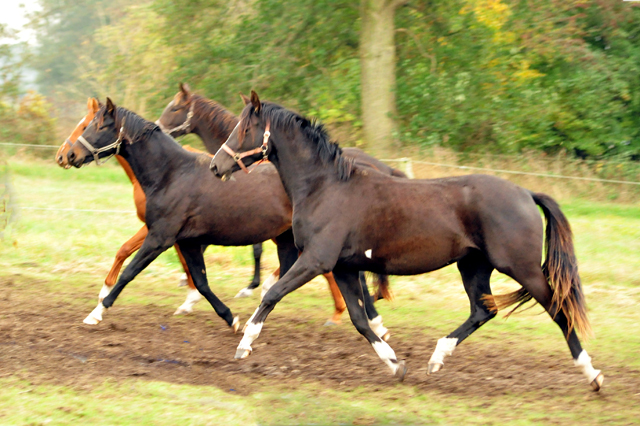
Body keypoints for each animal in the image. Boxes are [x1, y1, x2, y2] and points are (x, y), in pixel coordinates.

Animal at [210, 91, 604, 392]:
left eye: (246, 127)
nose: (216, 166)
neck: (326, 187)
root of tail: (525, 192)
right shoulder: (344, 267)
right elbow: (360, 319)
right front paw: (395, 365)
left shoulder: (316, 260)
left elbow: (272, 294)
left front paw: (244, 345)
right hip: (473, 265)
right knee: (483, 310)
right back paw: (437, 358)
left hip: (521, 267)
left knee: (558, 309)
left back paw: (593, 375)